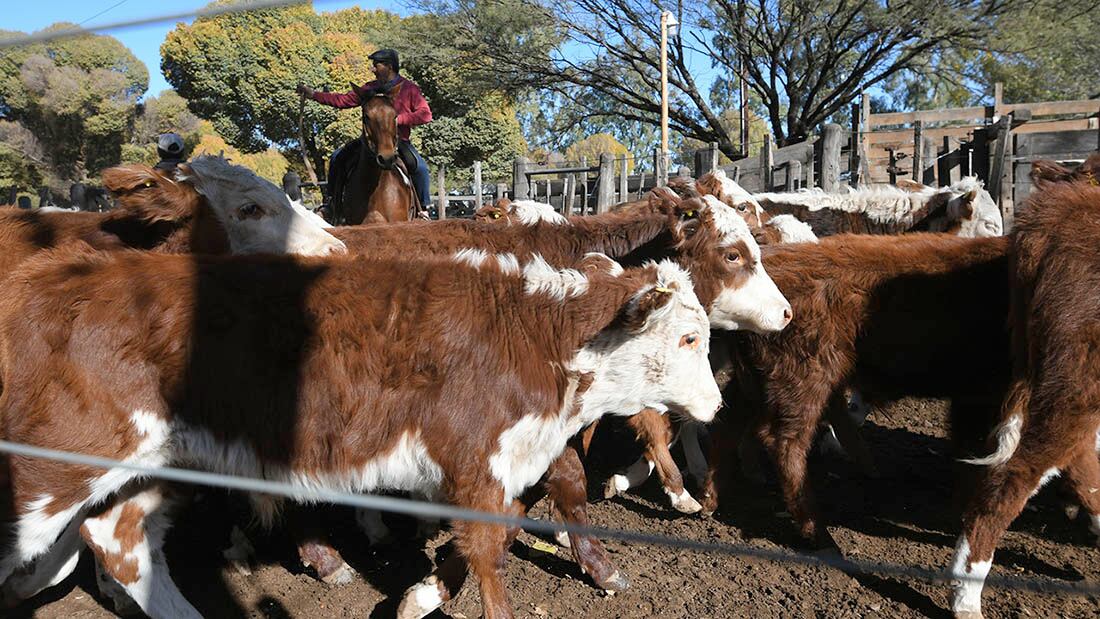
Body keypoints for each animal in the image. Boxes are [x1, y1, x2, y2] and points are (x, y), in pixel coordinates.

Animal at [0, 246, 721, 619]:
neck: (530, 334)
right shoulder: (473, 459)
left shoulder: (496, 464)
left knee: (119, 540)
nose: (716, 404)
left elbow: (498, 532)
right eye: (689, 337)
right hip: (54, 466)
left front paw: (423, 593)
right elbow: (490, 551)